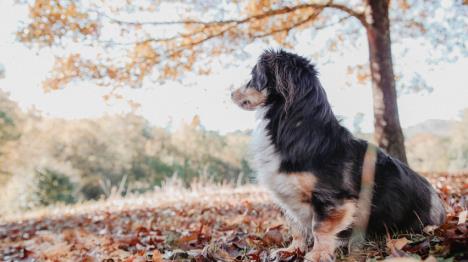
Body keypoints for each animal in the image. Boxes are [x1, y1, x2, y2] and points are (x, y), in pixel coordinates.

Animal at [230, 49, 446, 262]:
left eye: (253, 77)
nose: (230, 93)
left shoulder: (331, 199)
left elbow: (319, 228)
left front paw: (317, 254)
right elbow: (296, 228)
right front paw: (291, 251)